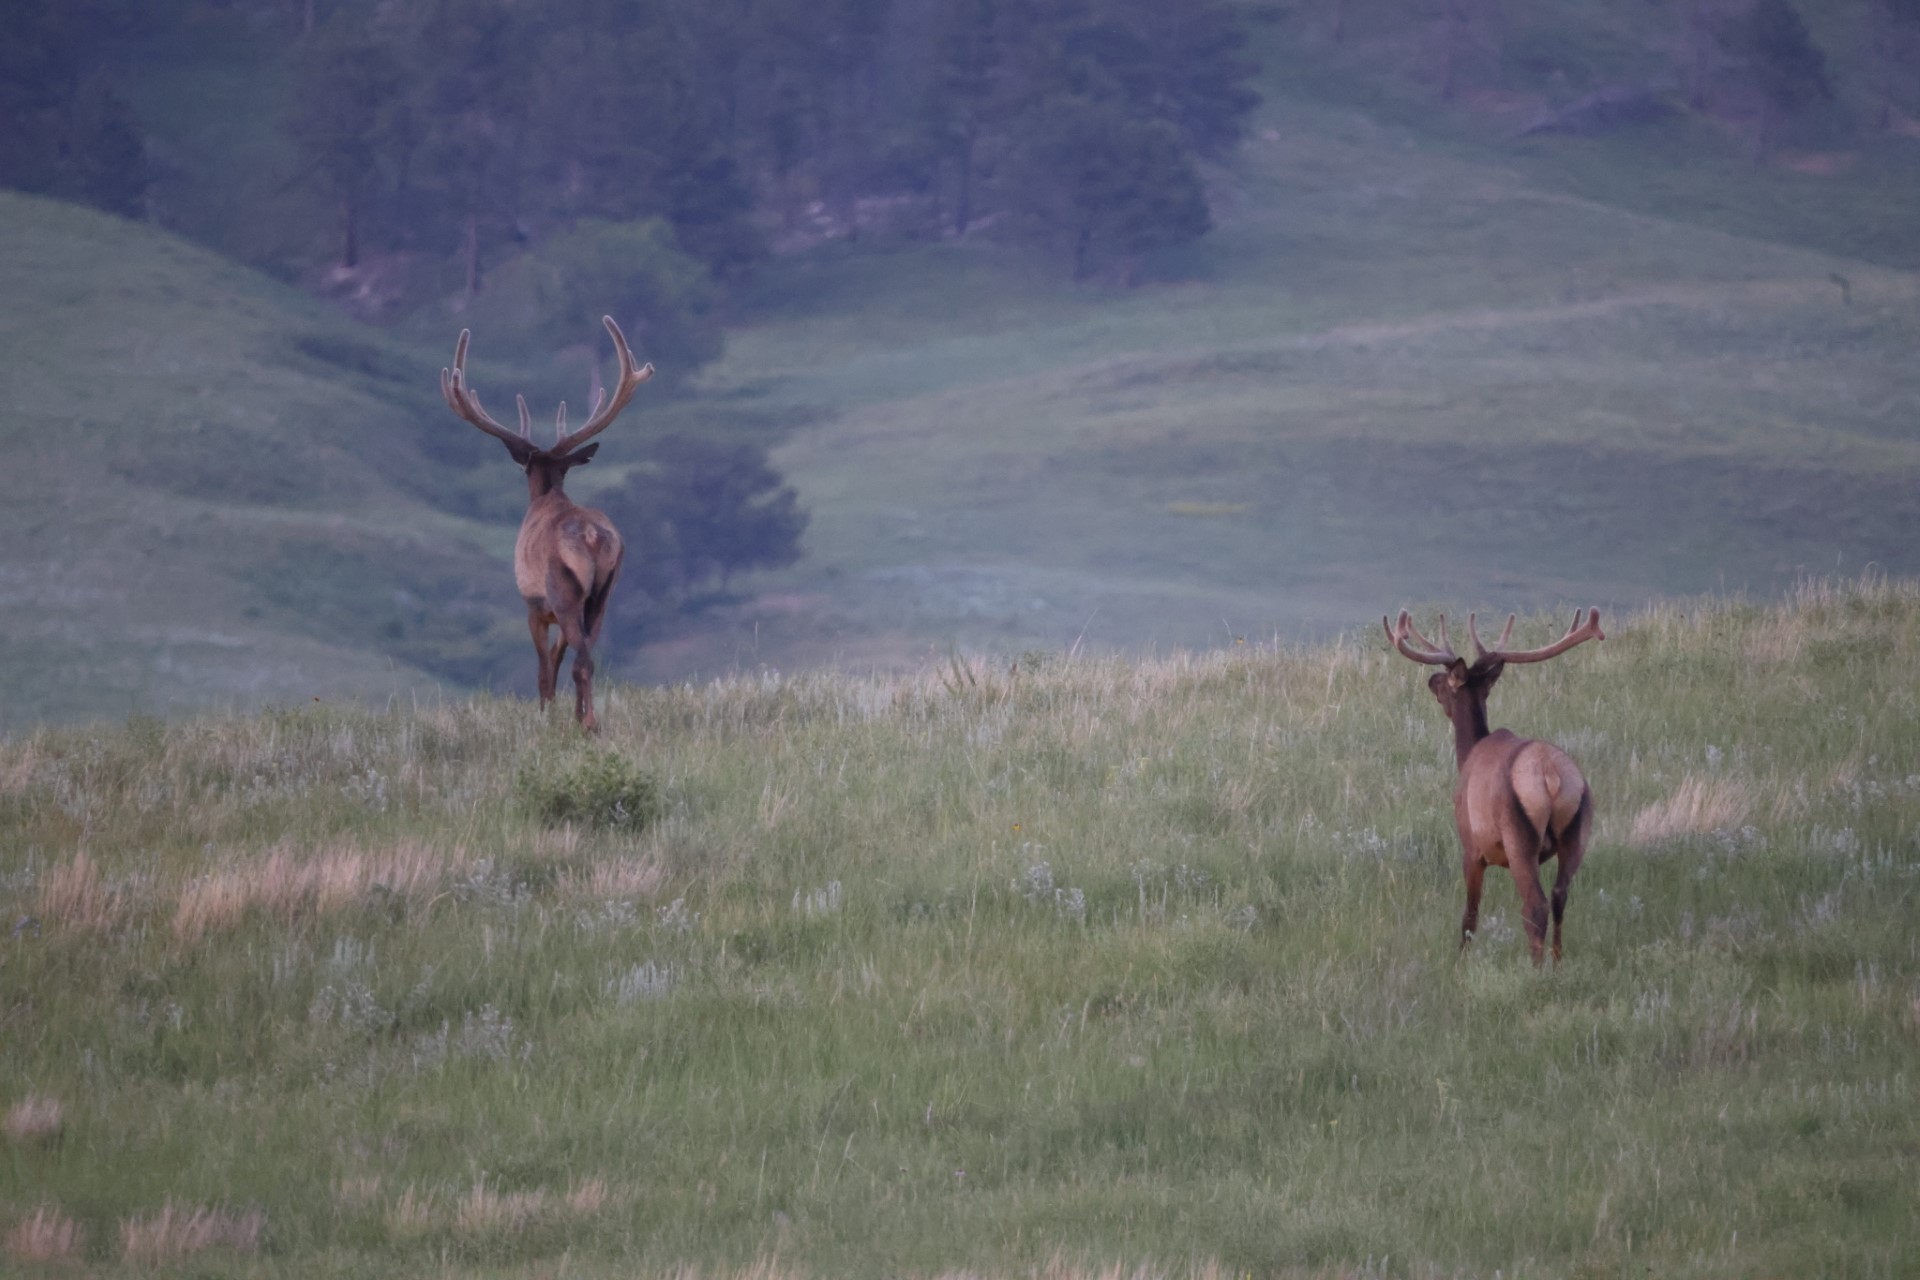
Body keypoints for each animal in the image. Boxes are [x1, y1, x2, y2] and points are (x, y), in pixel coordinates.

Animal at [442, 316, 653, 733]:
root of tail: (592, 536)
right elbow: (556, 660)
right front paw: (559, 713)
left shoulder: (534, 605)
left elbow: (543, 669)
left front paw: (545, 715)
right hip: (603, 594)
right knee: (587, 654)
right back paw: (586, 718)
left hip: (563, 592)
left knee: (582, 660)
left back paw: (588, 724)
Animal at [1384, 607, 1604, 965]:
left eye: (1447, 680)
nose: (1430, 680)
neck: (1467, 754)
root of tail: (1552, 777)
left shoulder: (1471, 845)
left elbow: (1470, 915)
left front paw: (1460, 961)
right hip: (1578, 829)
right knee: (1560, 897)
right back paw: (1557, 963)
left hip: (1519, 837)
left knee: (1536, 906)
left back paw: (1535, 968)